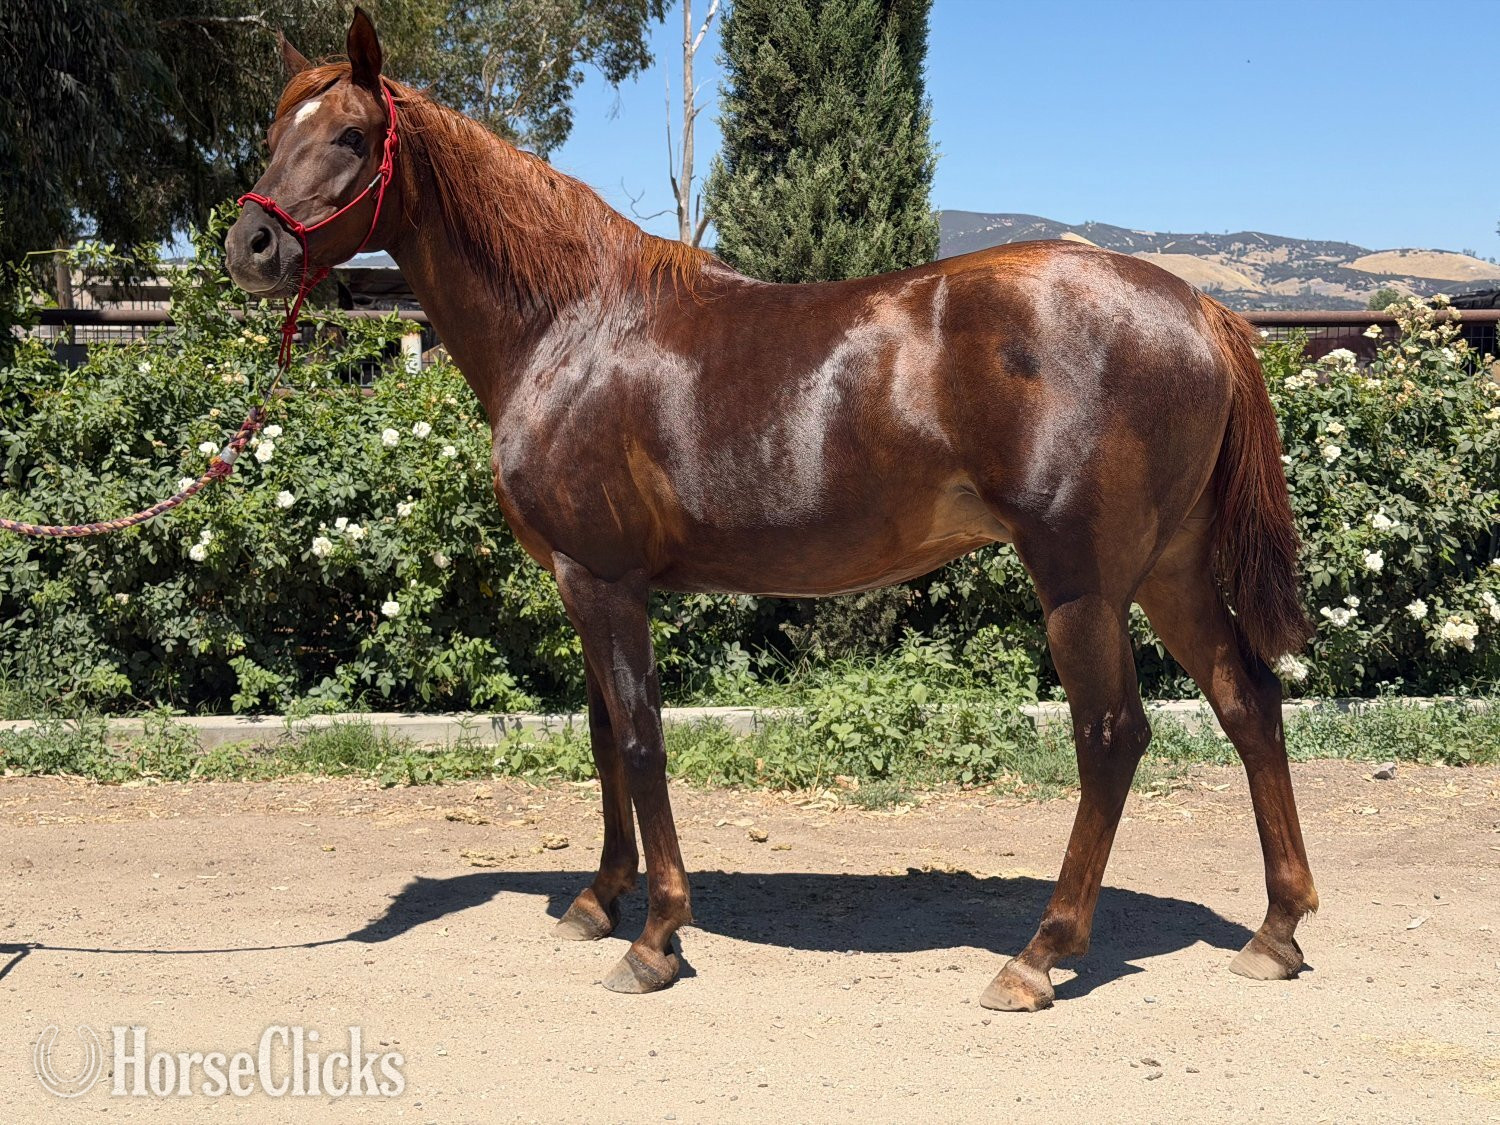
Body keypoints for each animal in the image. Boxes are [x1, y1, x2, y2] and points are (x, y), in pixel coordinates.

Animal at [225, 9, 1317, 1011]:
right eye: (278, 127)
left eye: (352, 134)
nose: (249, 243)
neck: (573, 325)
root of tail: (1200, 308)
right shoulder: (582, 583)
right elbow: (600, 733)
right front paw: (597, 900)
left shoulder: (606, 580)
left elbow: (638, 736)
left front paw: (656, 935)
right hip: (1169, 569)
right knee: (1249, 701)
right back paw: (1275, 931)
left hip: (1083, 583)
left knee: (1112, 736)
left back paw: (1040, 955)